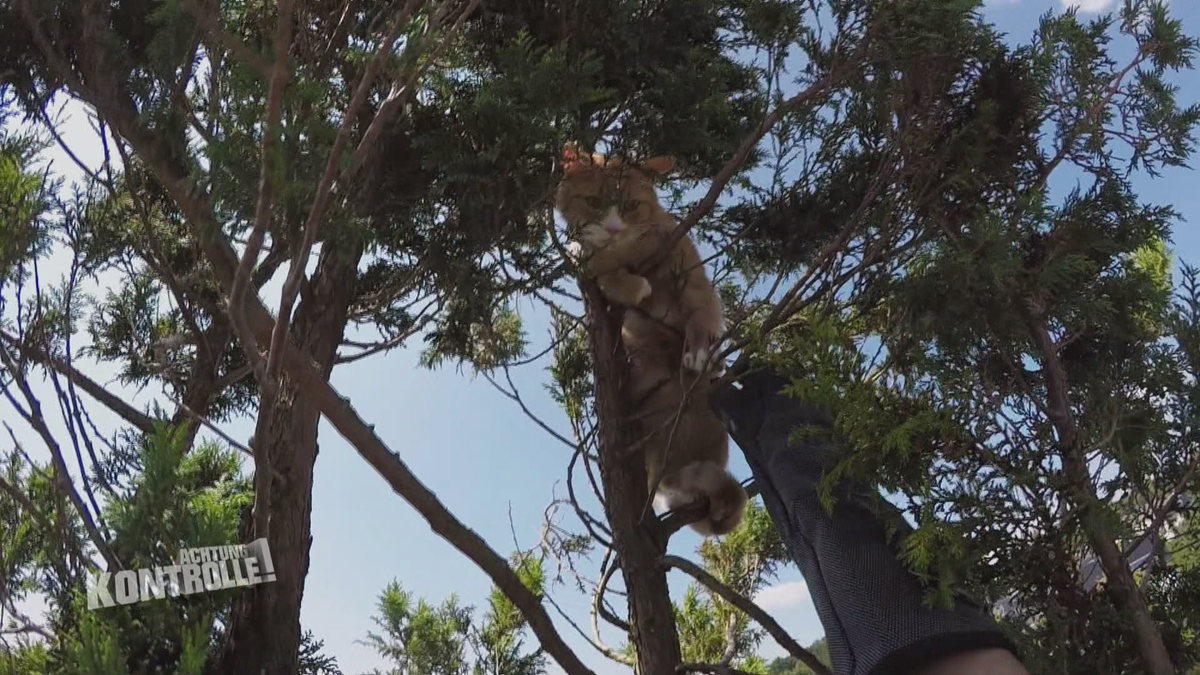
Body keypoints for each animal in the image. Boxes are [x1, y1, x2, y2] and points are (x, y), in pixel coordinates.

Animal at [554, 142, 744, 535]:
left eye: (629, 205)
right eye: (594, 202)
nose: (613, 228)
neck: (628, 252)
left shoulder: (693, 279)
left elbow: (701, 316)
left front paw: (699, 352)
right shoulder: (597, 272)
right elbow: (600, 270)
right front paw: (630, 284)